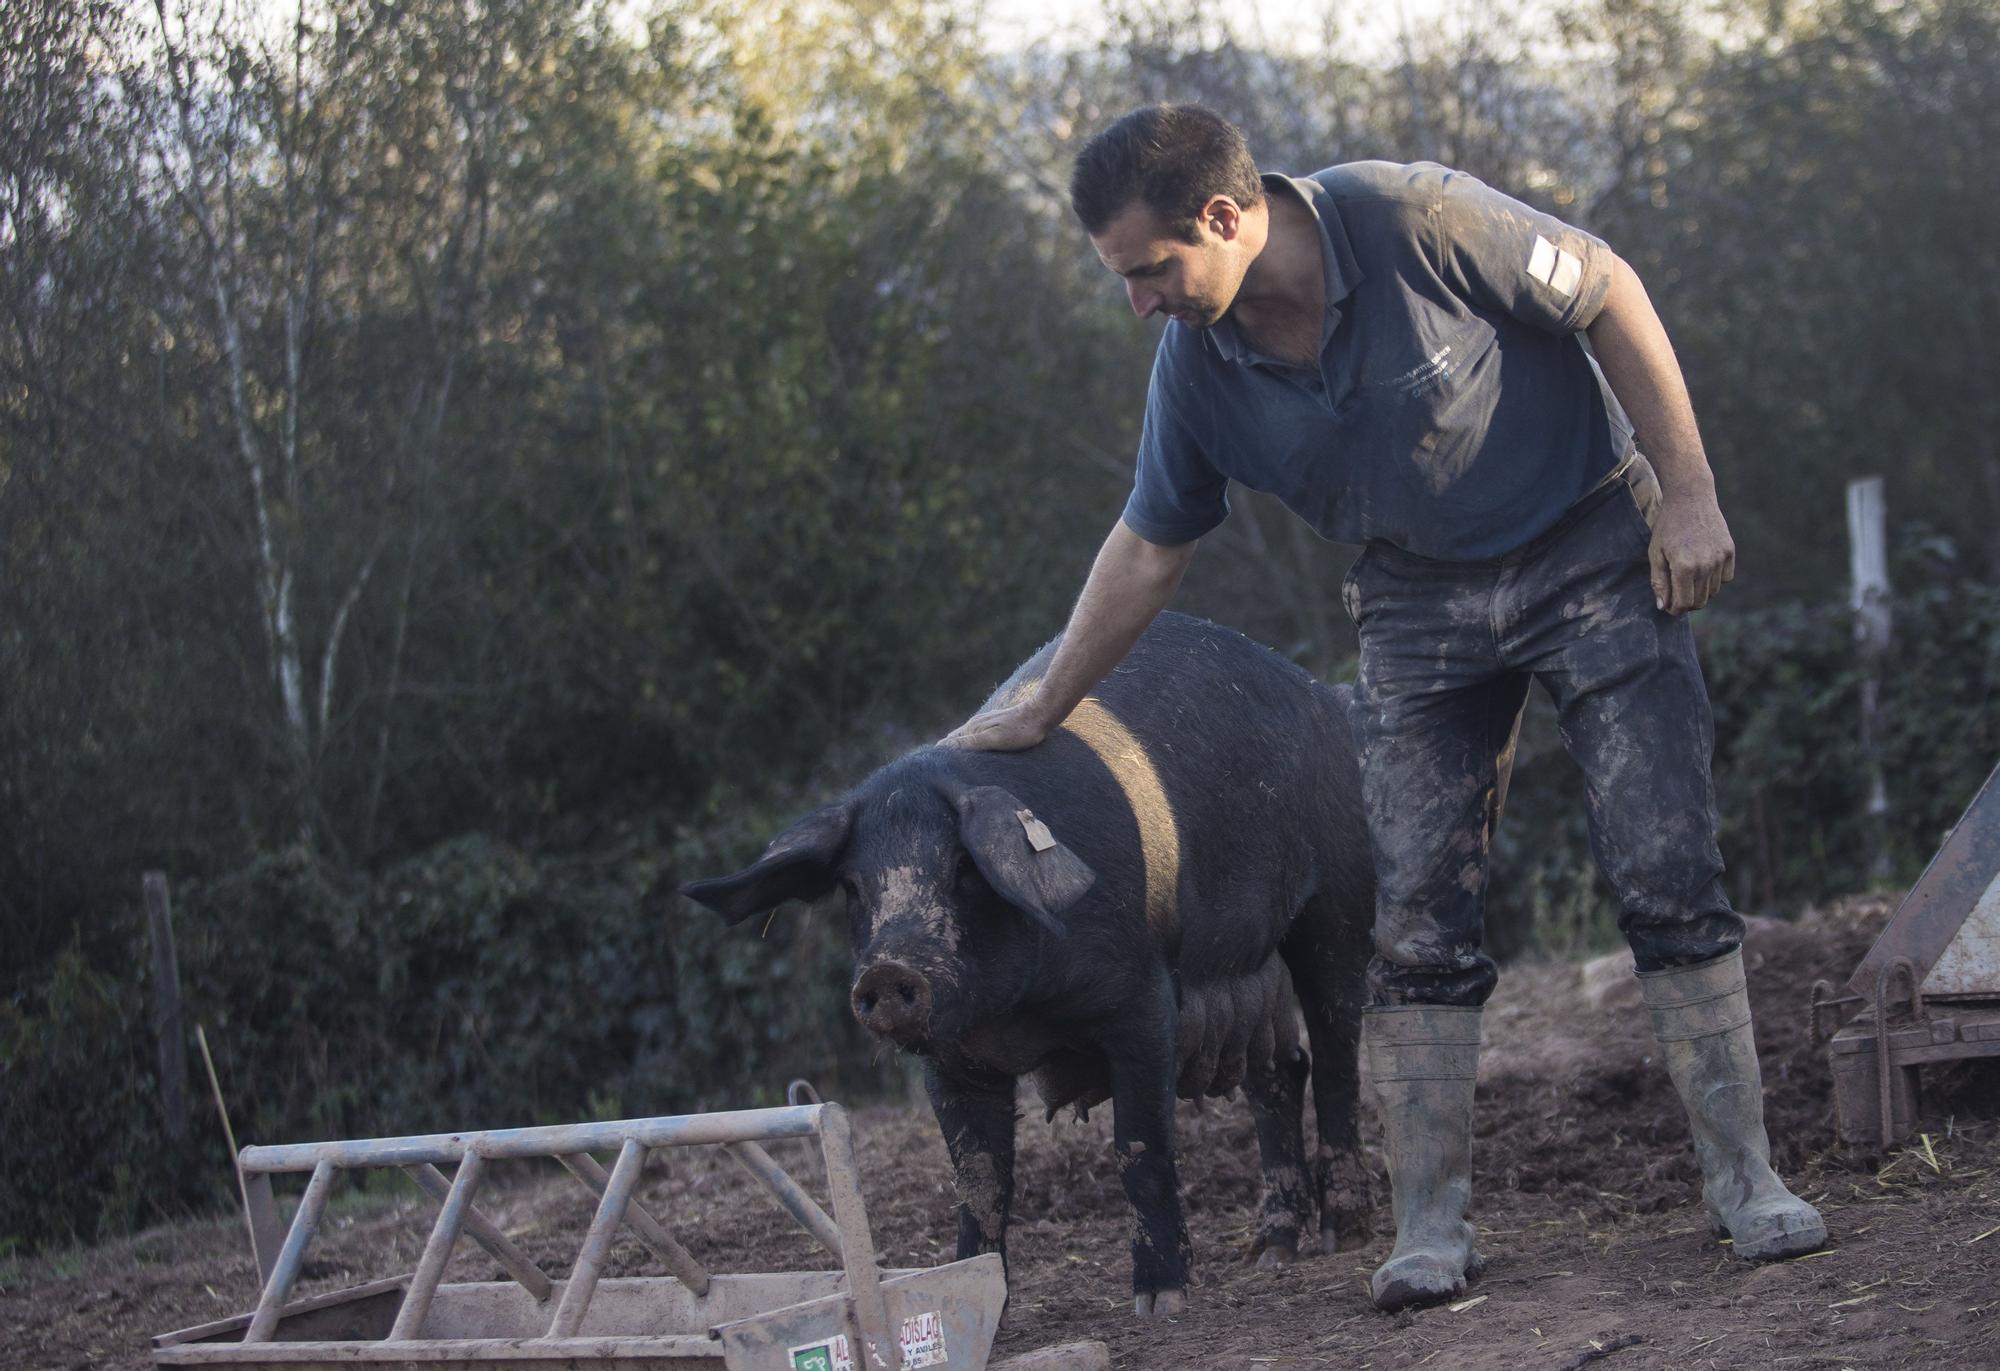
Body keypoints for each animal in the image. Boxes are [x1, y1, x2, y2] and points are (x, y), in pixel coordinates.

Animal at [684, 615, 1376, 1319]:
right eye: (853, 886)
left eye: (963, 867)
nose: (888, 971)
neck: (1017, 1014)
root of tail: (1325, 696)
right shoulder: (950, 1061)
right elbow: (978, 1180)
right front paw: (982, 1298)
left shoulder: (1143, 1002)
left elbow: (1139, 1148)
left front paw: (1160, 1301)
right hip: (1255, 969)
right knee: (1280, 1074)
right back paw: (1272, 1252)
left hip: (1337, 907)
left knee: (1335, 1058)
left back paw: (1341, 1234)